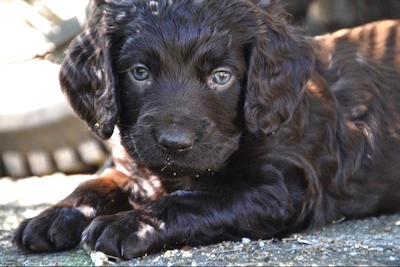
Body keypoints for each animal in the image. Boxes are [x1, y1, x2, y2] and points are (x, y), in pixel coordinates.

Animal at [12, 0, 400, 260]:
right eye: (139, 72)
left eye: (221, 76)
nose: (174, 143)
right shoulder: (131, 162)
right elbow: (94, 184)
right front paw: (55, 215)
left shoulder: (283, 190)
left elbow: (194, 199)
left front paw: (128, 224)